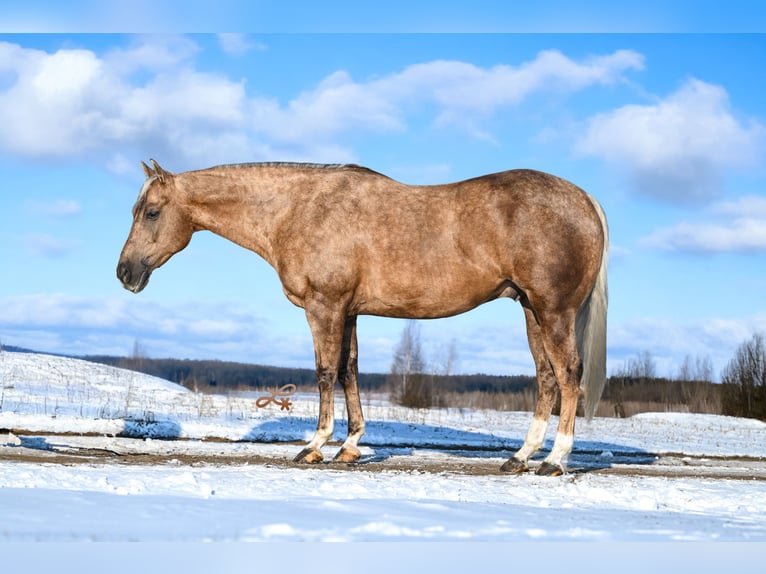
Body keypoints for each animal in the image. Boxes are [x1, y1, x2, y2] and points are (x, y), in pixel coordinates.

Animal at [117, 159, 608, 476]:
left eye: (152, 212)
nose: (125, 273)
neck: (298, 208)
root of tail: (585, 199)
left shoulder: (325, 307)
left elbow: (323, 372)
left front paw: (315, 446)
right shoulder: (349, 311)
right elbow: (349, 371)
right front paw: (350, 447)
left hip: (553, 310)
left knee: (569, 374)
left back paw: (554, 460)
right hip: (530, 309)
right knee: (546, 378)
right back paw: (520, 457)